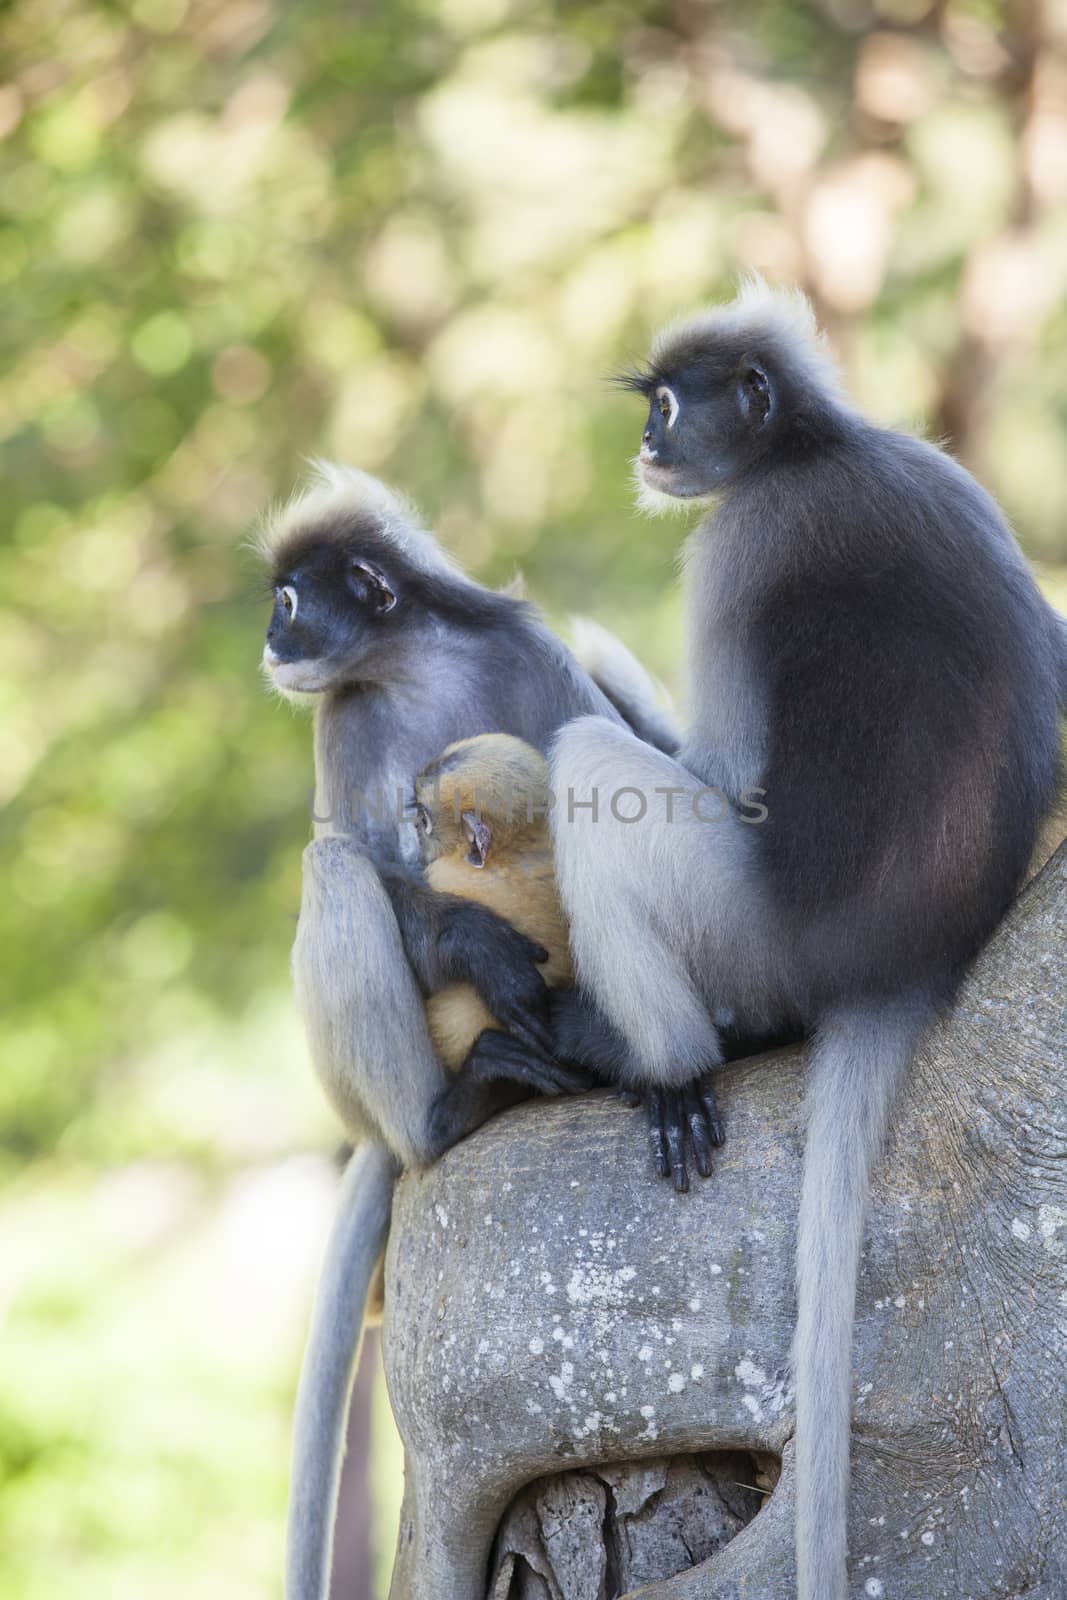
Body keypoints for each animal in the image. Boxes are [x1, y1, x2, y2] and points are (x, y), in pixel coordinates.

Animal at [257, 467, 694, 1600]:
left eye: (289, 601)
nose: (266, 639)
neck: (413, 664)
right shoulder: (344, 718)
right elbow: (372, 861)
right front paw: (478, 945)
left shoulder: (520, 646)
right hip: (360, 1088)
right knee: (334, 866)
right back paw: (446, 1117)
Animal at [524, 284, 1067, 1600]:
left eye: (670, 405)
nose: (648, 442)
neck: (822, 447)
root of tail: (899, 965)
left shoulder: (744, 542)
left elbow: (705, 766)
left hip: (748, 931)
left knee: (590, 774)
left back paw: (659, 1066)